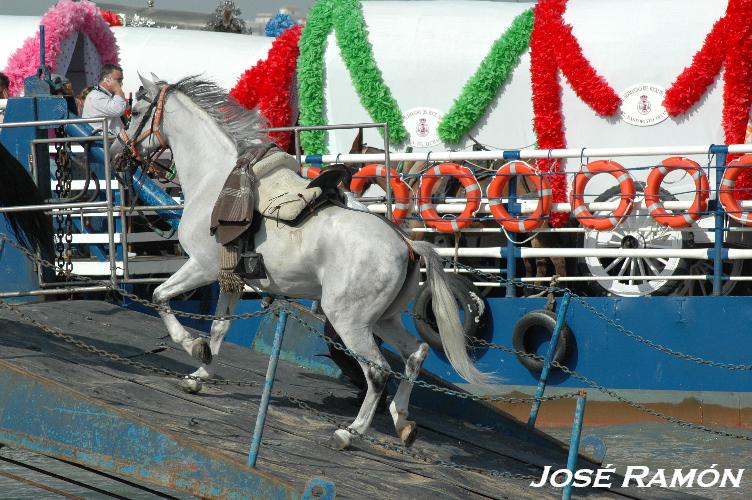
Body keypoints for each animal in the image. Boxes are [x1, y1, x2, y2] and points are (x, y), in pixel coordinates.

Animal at [110, 75, 488, 450]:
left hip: (350, 322)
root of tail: (407, 243)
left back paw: (350, 432)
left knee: (379, 371)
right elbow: (219, 326)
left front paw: (193, 346)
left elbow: (160, 296)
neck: (215, 178)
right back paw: (402, 420)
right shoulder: (231, 278)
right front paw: (200, 372)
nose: (115, 154)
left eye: (135, 111)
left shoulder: (202, 267)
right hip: (384, 319)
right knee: (415, 354)